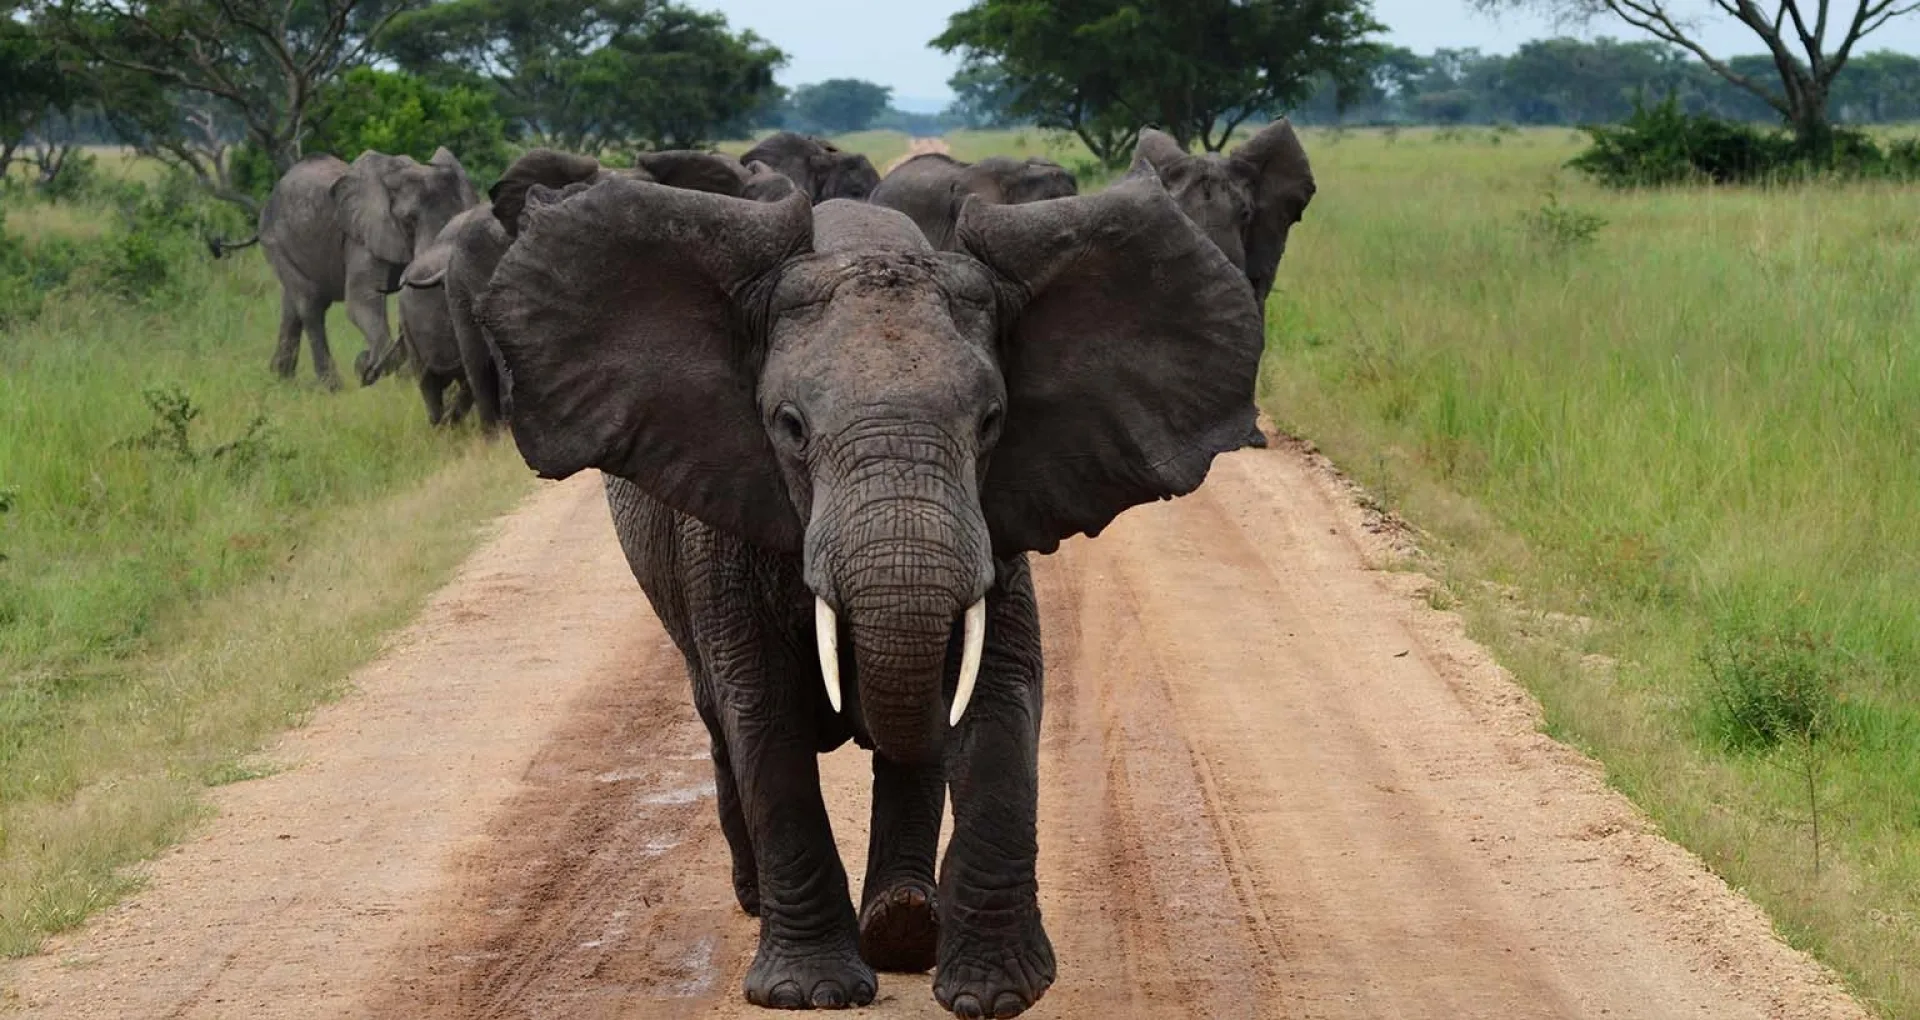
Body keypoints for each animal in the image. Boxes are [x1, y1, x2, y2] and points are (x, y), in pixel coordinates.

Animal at [252, 147, 480, 389]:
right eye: (409, 220)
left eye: (460, 215)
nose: (365, 363)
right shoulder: (360, 236)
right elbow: (362, 299)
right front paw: (371, 367)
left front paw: (402, 376)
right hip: (273, 241)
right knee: (311, 304)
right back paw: (331, 387)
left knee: (292, 306)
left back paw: (280, 378)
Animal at [478, 164, 1262, 1015]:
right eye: (789, 426)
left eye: (991, 422)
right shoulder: (724, 527)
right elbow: (762, 715)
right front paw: (810, 992)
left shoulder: (996, 523)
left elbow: (1001, 693)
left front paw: (993, 993)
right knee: (716, 713)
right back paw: (764, 899)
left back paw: (906, 926)